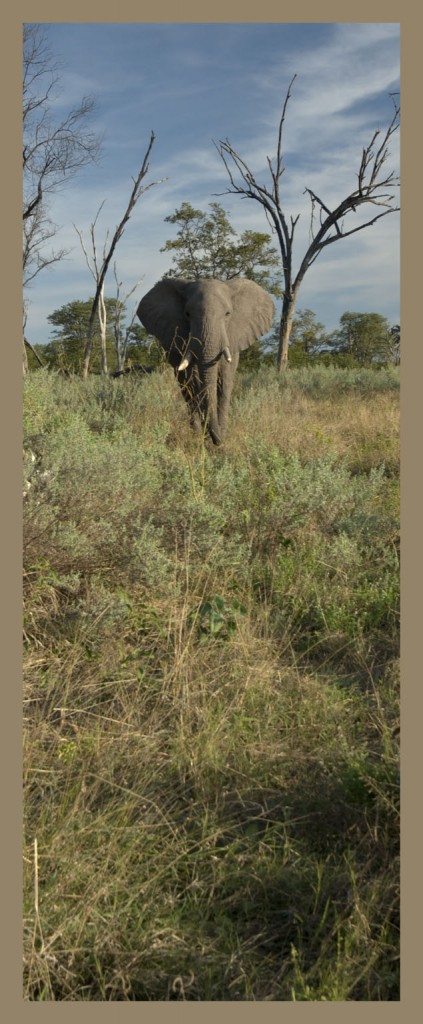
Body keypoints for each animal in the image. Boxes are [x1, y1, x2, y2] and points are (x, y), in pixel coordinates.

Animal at [136, 276, 274, 444]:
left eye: (228, 314)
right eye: (187, 314)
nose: (217, 440)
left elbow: (225, 382)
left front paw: (220, 436)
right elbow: (194, 380)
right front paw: (206, 437)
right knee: (185, 388)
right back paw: (196, 435)